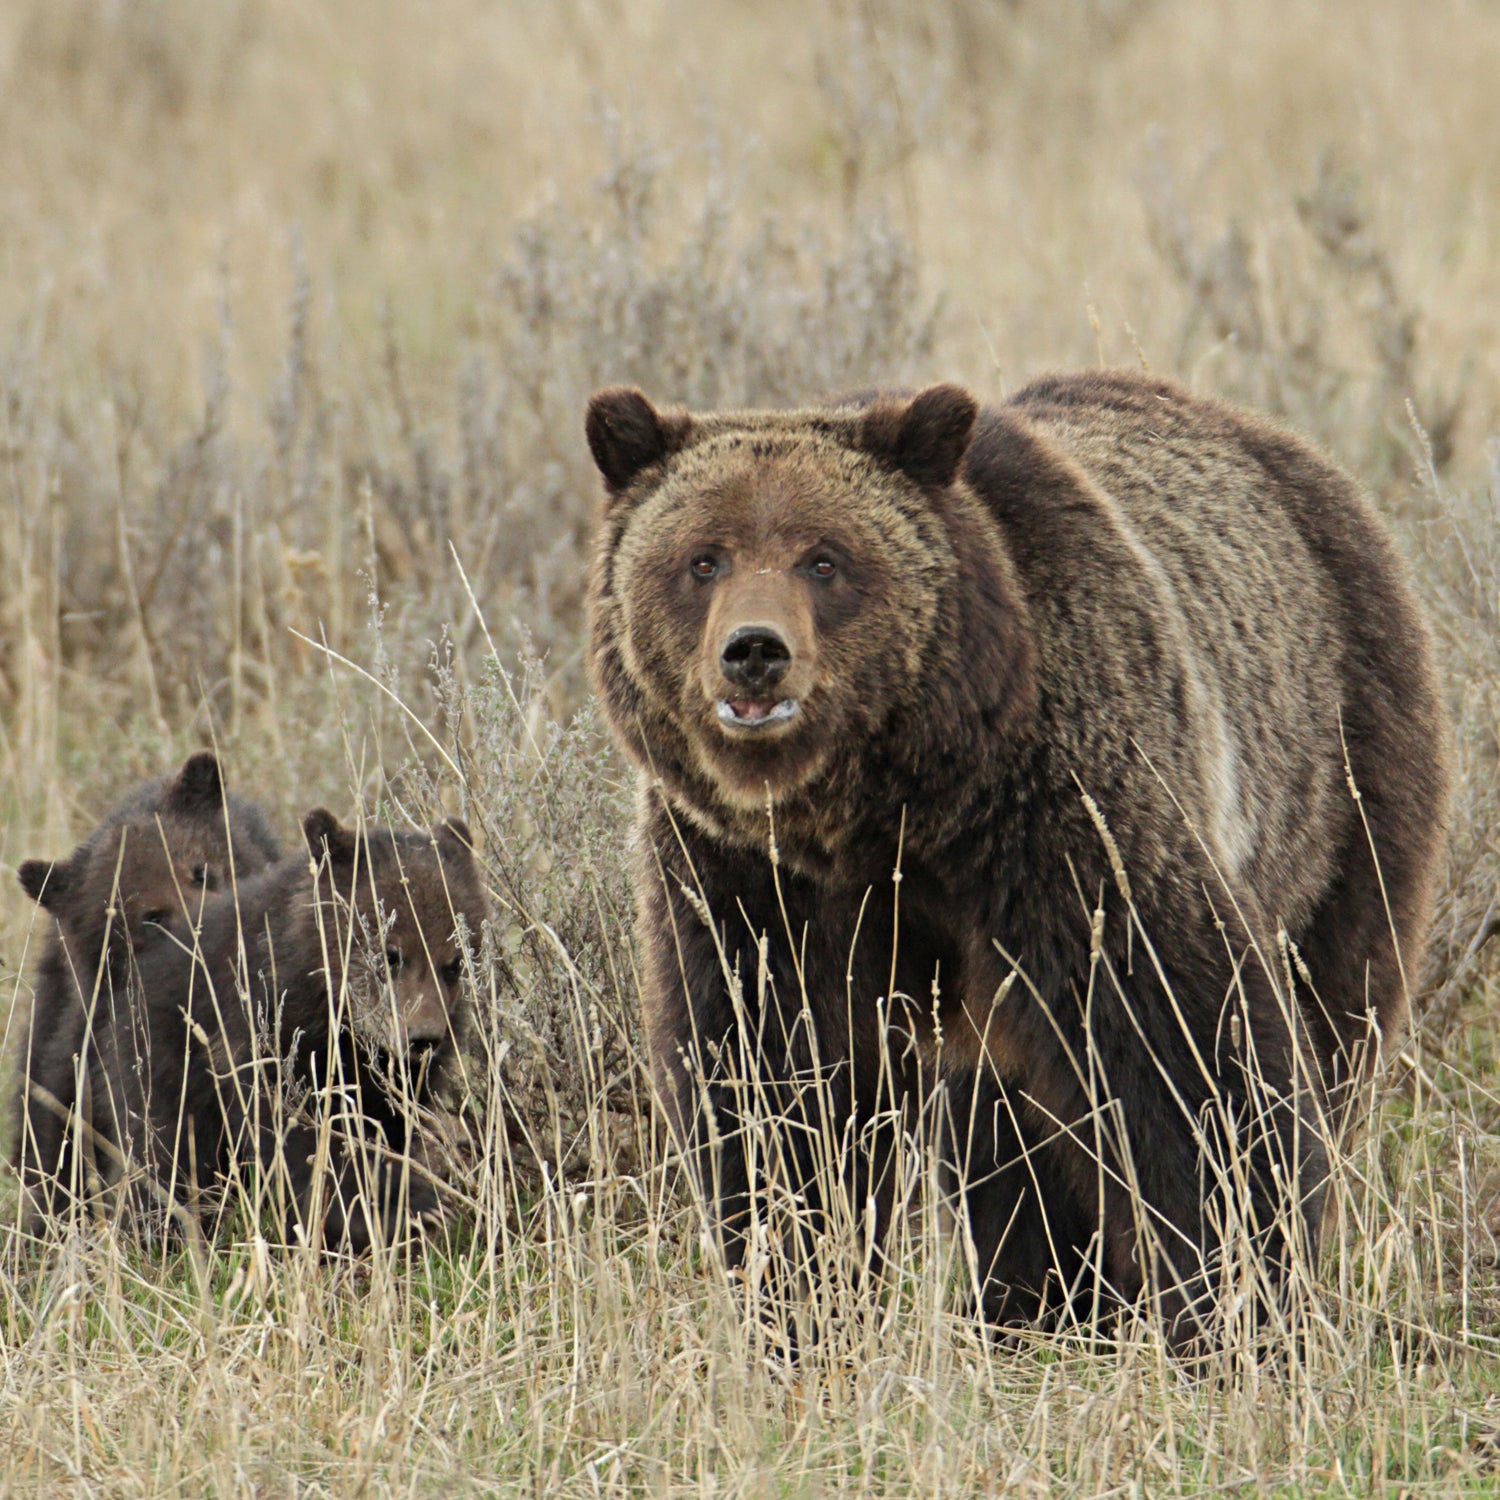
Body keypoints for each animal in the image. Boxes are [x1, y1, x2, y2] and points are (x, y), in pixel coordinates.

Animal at [93, 816, 489, 1248]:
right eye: (390, 954)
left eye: (454, 962)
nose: (422, 1038)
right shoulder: (259, 1035)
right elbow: (293, 1134)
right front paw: (397, 1208)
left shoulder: (394, 1079)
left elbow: (382, 1124)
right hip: (161, 1069)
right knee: (169, 1154)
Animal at [579, 369, 1446, 1344]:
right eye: (704, 559)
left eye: (824, 559)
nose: (755, 652)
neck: (882, 810)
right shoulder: (742, 876)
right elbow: (773, 1081)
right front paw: (798, 1297)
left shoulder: (1062, 819)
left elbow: (1191, 1053)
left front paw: (1238, 1304)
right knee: (1006, 1132)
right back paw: (1034, 1300)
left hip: (1341, 778)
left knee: (1335, 1013)